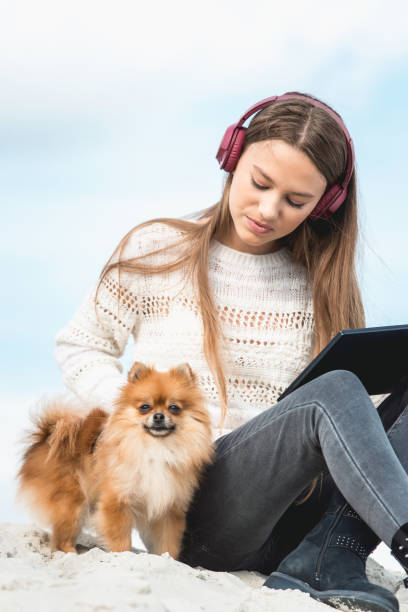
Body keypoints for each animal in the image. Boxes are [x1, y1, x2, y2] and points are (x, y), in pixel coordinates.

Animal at [15, 364, 215, 560]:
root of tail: (46, 437)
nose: (158, 416)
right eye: (145, 407)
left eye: (174, 407)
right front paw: (122, 554)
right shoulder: (116, 501)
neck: (156, 448)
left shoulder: (168, 508)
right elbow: (120, 538)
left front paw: (168, 559)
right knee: (61, 539)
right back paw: (71, 553)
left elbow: (168, 543)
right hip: (72, 504)